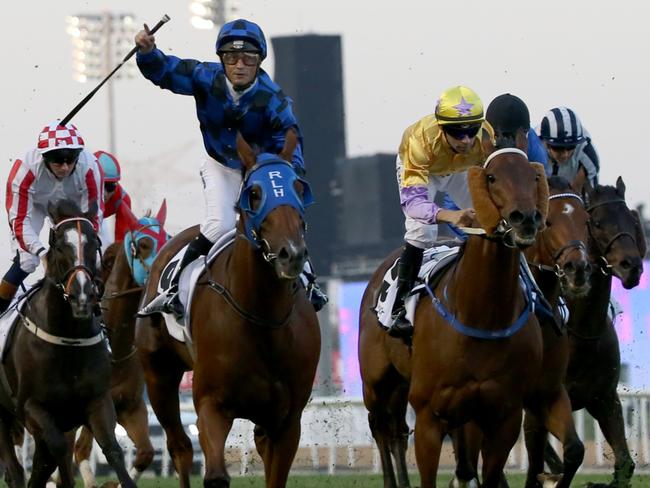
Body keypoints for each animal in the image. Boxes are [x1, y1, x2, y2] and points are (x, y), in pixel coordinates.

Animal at [0, 199, 135, 488]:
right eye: (60, 244)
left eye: (94, 243)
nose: (81, 296)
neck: (67, 340)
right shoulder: (32, 407)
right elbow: (58, 450)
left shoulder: (98, 401)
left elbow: (113, 450)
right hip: (4, 414)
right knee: (15, 468)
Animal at [73, 200, 170, 486]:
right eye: (145, 243)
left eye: (169, 238)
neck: (114, 349)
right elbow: (81, 451)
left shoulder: (131, 406)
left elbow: (146, 453)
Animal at [136, 131, 318, 488]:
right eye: (255, 194)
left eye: (298, 187)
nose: (291, 253)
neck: (262, 317)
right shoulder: (211, 404)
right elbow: (216, 475)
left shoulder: (288, 420)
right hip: (158, 375)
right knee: (179, 447)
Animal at [356, 147, 548, 486]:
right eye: (491, 177)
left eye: (534, 176)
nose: (525, 219)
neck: (483, 317)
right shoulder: (429, 416)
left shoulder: (505, 417)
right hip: (378, 382)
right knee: (381, 428)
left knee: (398, 432)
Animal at [540, 176, 644, 488]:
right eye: (595, 223)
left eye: (631, 220)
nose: (632, 266)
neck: (582, 331)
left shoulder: (605, 399)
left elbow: (625, 463)